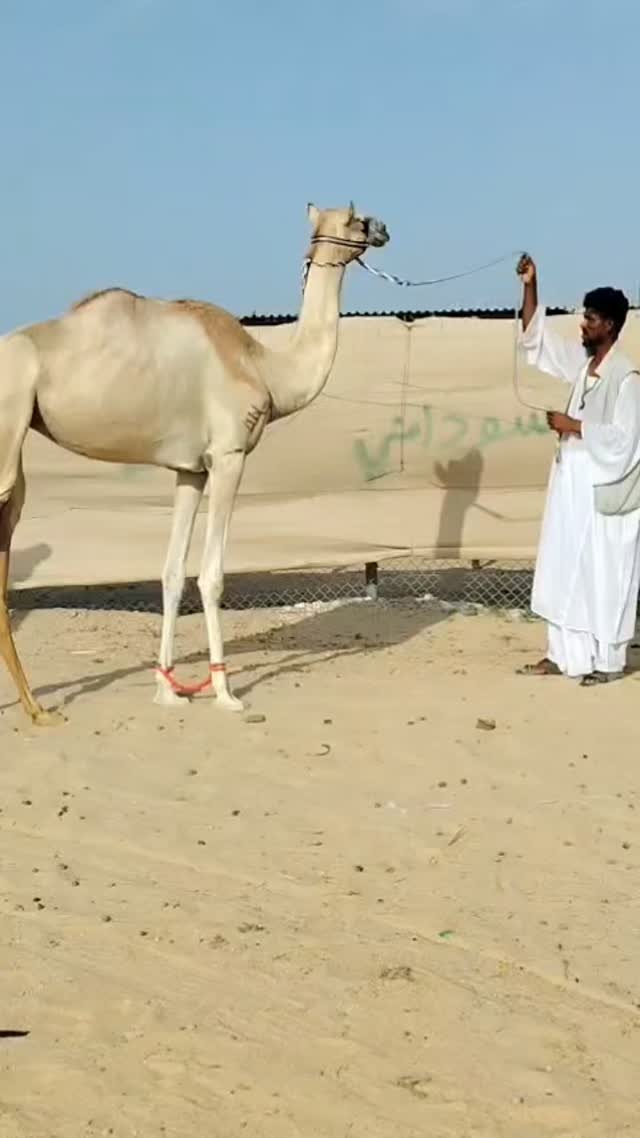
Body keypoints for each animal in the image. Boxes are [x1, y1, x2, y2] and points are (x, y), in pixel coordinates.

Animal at [0, 202, 389, 725]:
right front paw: (224, 692)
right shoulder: (227, 456)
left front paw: (168, 689)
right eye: (357, 219)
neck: (266, 368)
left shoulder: (190, 470)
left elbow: (170, 572)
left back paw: (36, 707)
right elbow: (211, 575)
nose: (386, 229)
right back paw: (38, 708)